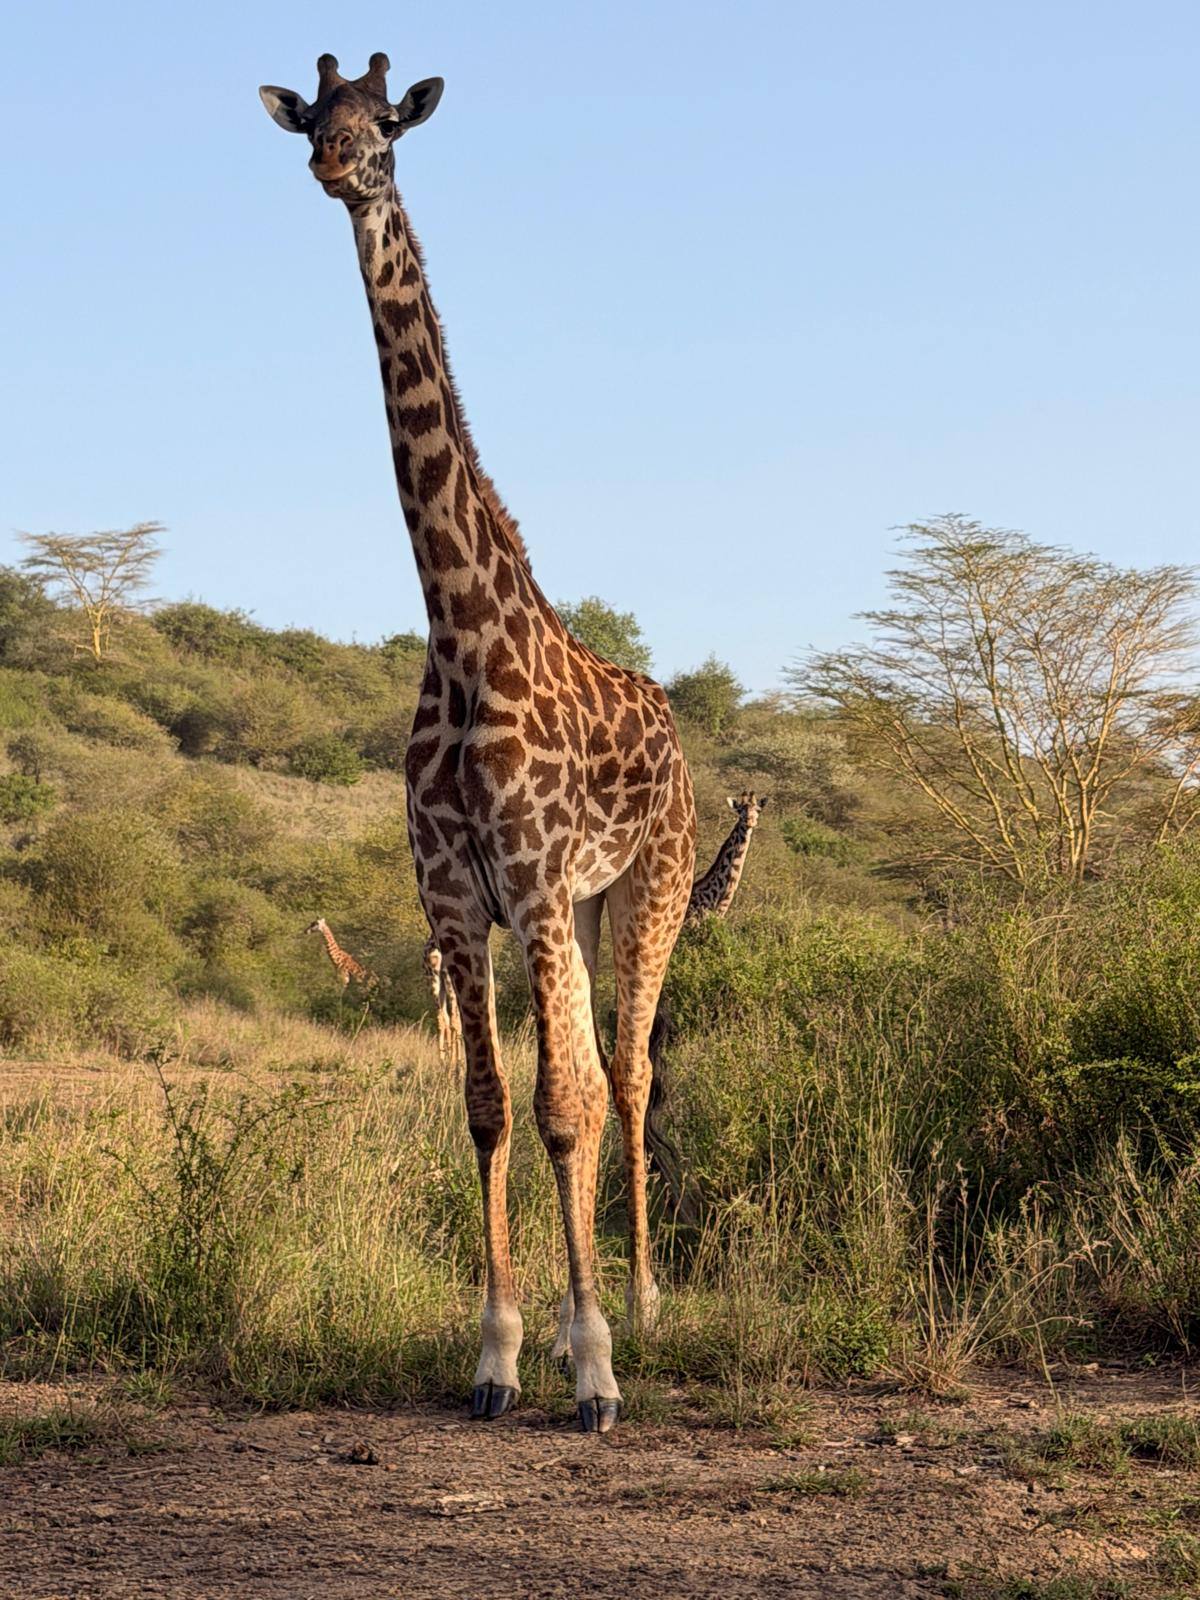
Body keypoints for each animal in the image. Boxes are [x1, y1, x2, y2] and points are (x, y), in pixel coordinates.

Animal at [423, 934, 463, 1064]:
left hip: (434, 981)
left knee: (442, 1019)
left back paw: (443, 1061)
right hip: (449, 981)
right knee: (453, 1020)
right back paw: (455, 1063)